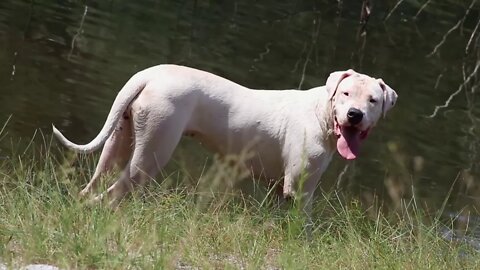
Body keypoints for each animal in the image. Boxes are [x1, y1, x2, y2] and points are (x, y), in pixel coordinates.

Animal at [52, 64, 398, 214]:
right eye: (346, 93)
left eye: (373, 100)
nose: (354, 114)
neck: (321, 112)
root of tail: (150, 74)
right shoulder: (299, 190)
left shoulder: (281, 190)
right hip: (152, 150)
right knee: (114, 192)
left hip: (119, 140)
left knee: (95, 182)